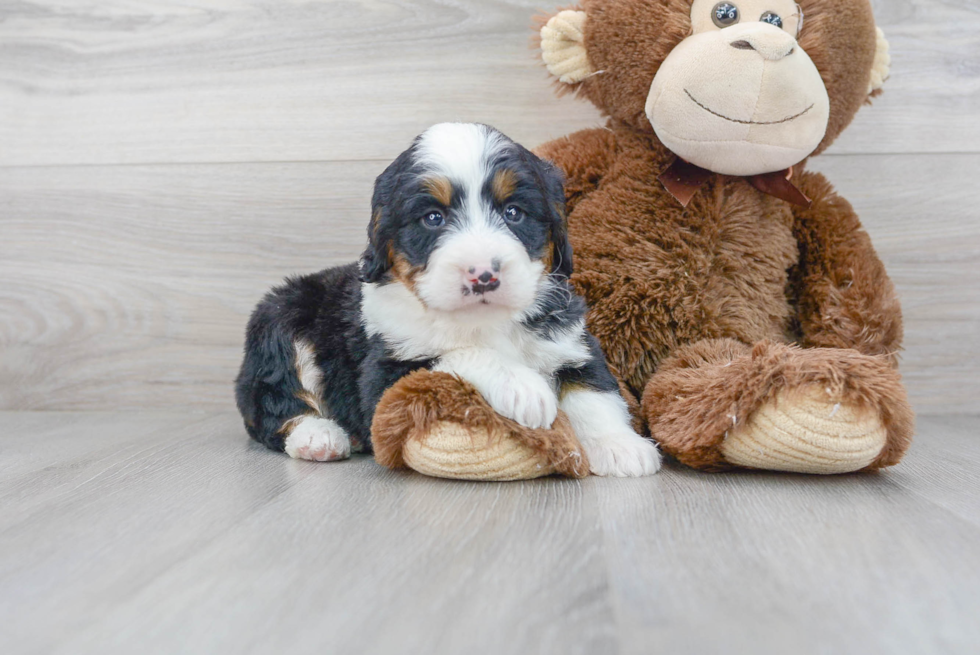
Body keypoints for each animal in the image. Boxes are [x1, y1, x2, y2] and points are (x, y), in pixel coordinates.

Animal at [234, 123, 664, 476]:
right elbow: (459, 355)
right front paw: (522, 387)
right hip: (280, 319)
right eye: (433, 218)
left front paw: (620, 445)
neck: (485, 319)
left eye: (513, 212)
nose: (484, 274)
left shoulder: (569, 340)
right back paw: (320, 436)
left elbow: (593, 391)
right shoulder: (387, 368)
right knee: (273, 406)